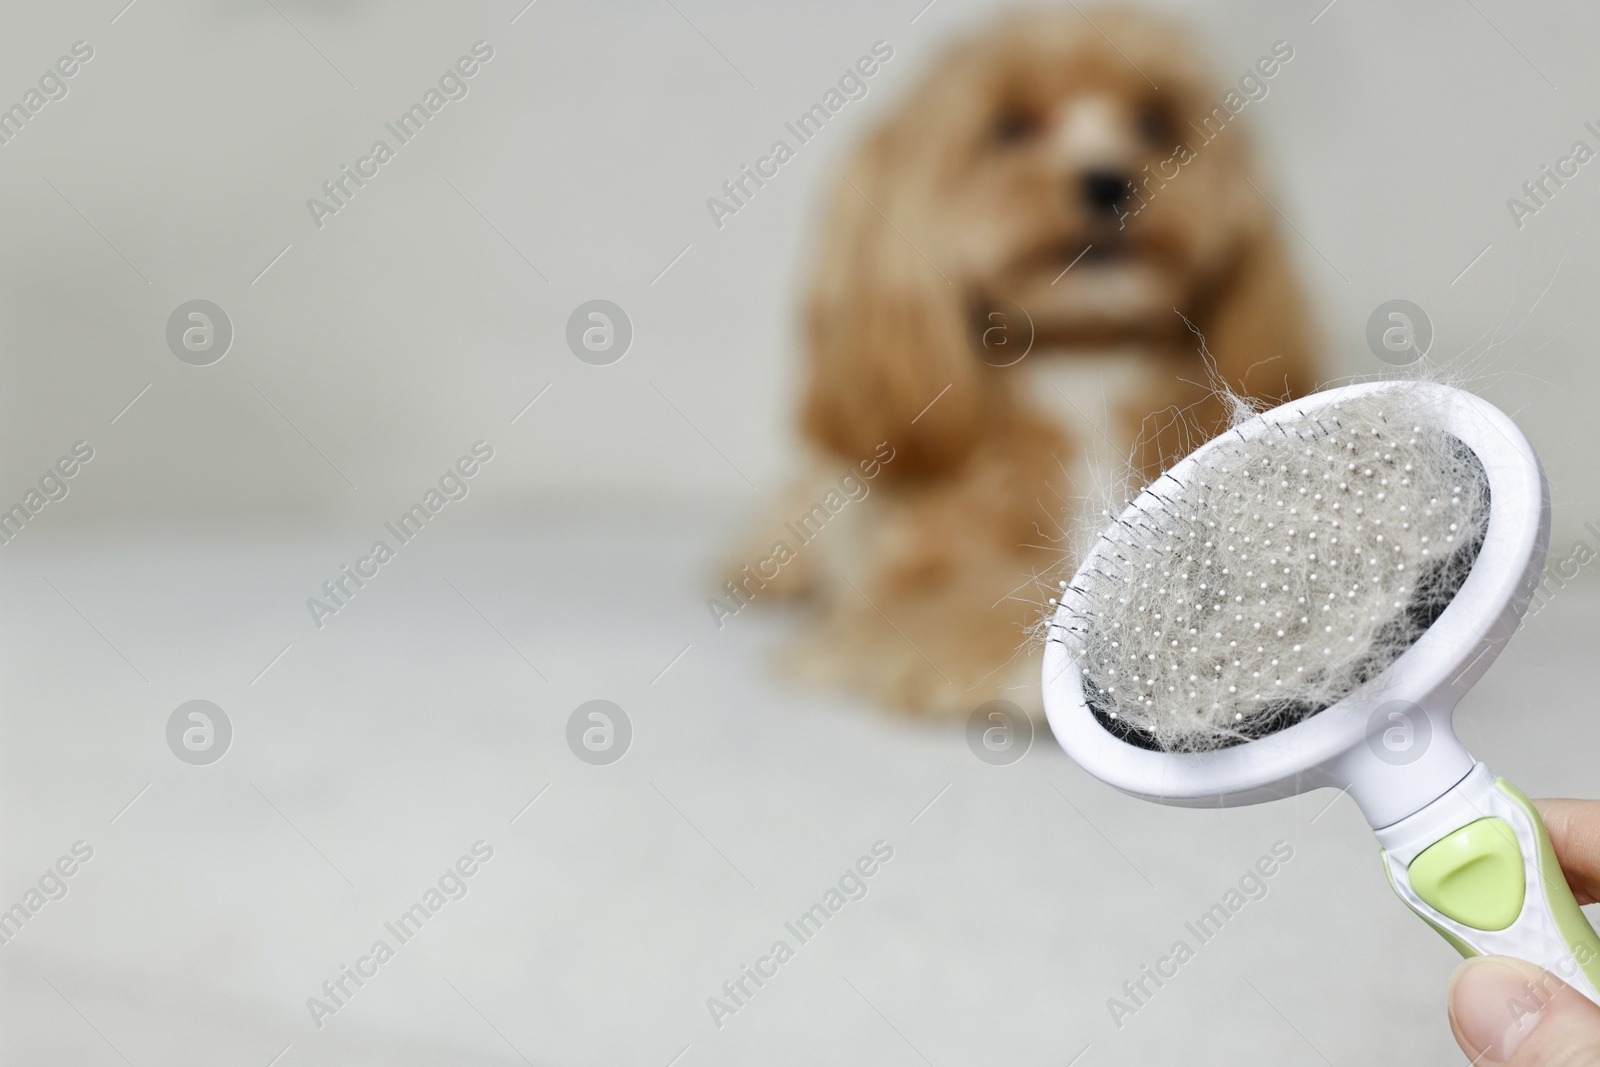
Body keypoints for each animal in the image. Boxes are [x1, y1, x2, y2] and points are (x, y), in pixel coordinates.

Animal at [732, 10, 1318, 716]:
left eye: (1155, 122)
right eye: (1010, 127)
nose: (1110, 180)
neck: (1083, 358)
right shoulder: (904, 588)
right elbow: (977, 606)